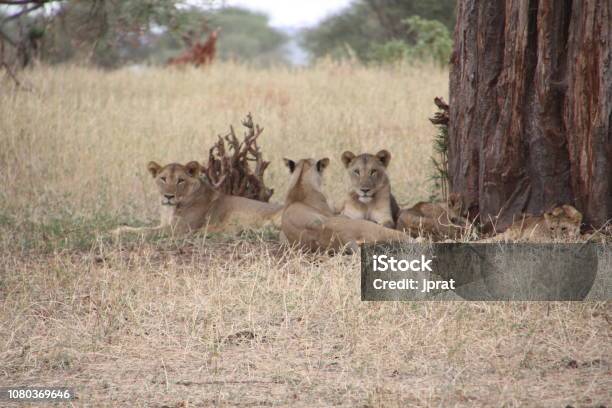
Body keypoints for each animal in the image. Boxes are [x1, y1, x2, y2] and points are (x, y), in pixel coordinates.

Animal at [112, 159, 282, 236]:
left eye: (180, 180)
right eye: (163, 179)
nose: (168, 196)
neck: (169, 209)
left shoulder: (178, 229)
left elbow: (145, 231)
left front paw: (116, 232)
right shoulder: (165, 224)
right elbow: (141, 228)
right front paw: (120, 228)